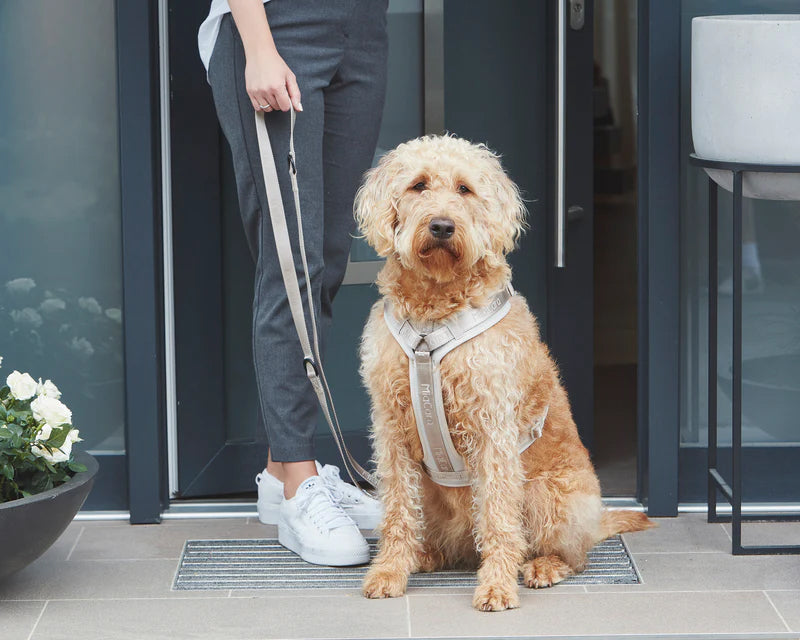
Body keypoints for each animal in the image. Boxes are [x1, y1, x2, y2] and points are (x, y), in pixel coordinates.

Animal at [354, 135, 648, 608]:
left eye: (464, 189)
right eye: (418, 185)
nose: (441, 226)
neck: (433, 316)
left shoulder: (492, 427)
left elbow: (497, 517)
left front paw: (496, 585)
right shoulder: (392, 431)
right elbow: (397, 510)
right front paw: (389, 571)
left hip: (547, 494)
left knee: (569, 553)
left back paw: (542, 567)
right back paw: (424, 556)